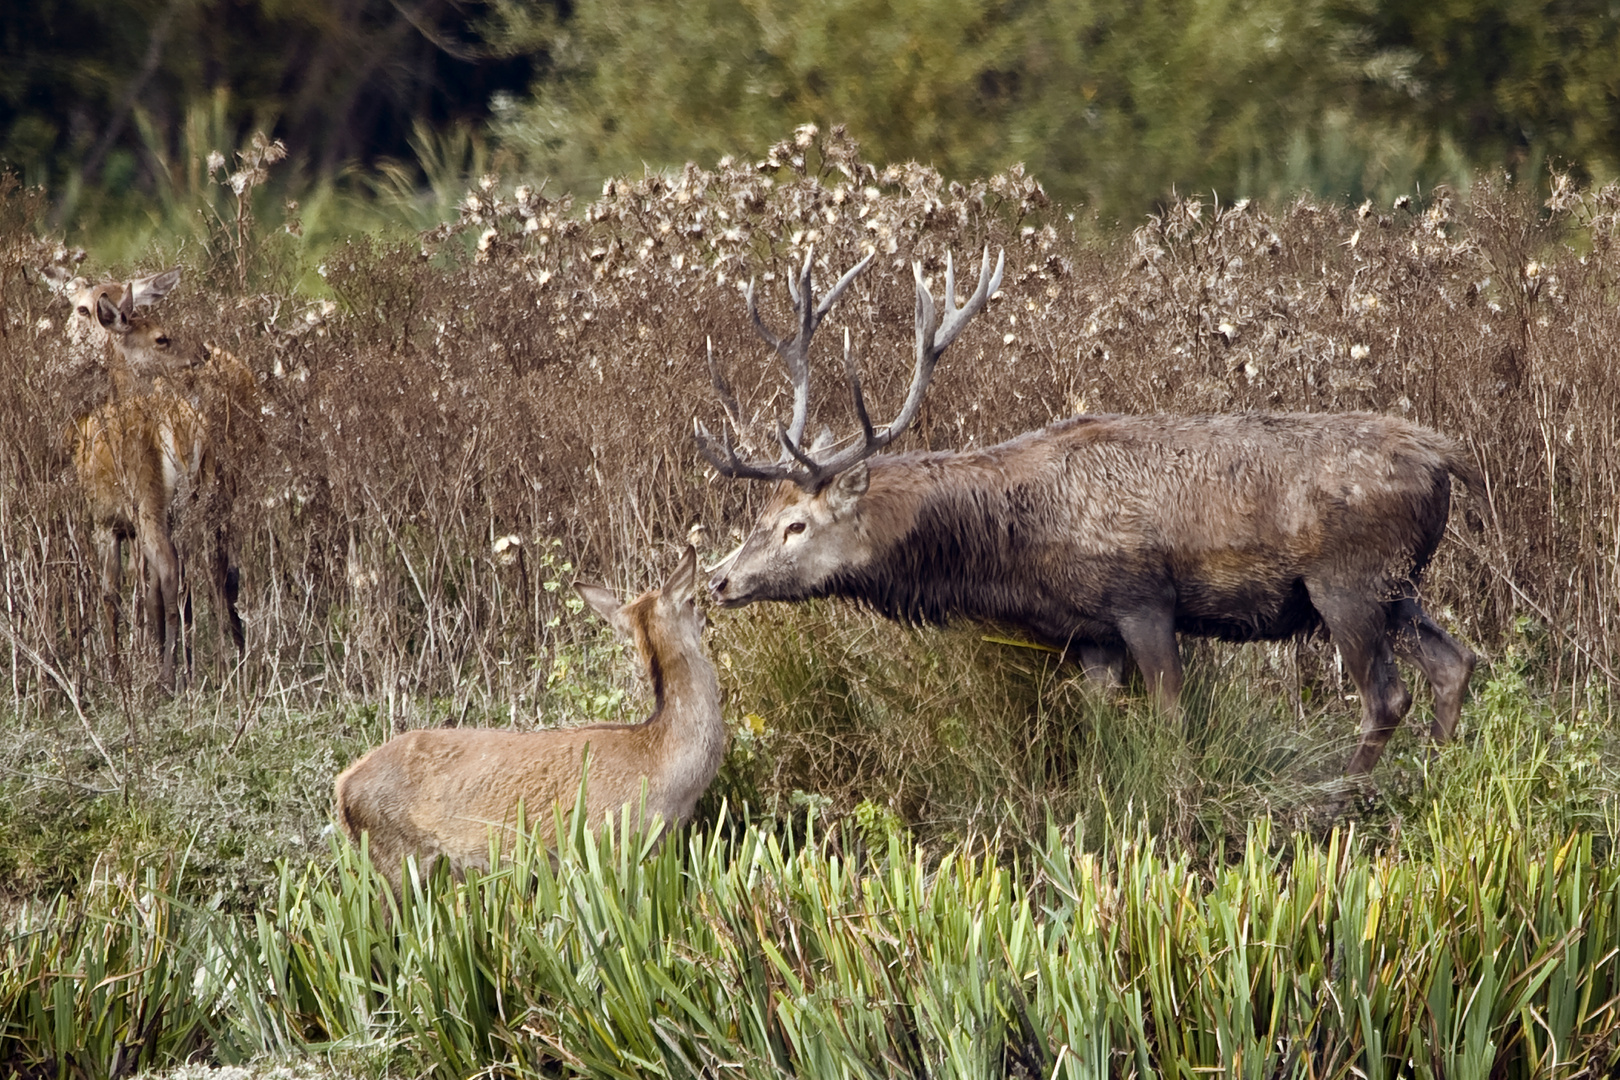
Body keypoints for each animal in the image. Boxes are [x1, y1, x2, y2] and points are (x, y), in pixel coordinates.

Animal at [332, 550, 725, 893]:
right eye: (691, 601)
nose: (708, 611)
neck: (665, 766)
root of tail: (342, 786)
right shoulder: (613, 846)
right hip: (398, 857)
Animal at [699, 247, 1483, 777]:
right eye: (762, 518)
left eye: (796, 525)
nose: (718, 580)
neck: (1024, 551)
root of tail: (1446, 457)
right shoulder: (1091, 633)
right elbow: (1103, 730)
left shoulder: (1143, 599)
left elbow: (1171, 721)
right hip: (1398, 583)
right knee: (1454, 662)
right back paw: (1438, 776)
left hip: (1345, 580)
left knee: (1386, 695)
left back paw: (1344, 795)